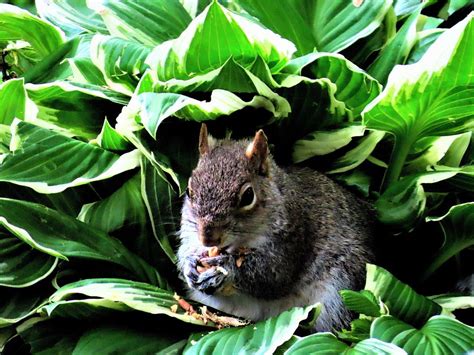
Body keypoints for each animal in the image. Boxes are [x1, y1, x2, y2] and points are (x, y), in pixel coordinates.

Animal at [176, 124, 376, 332]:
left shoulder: (295, 237)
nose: (208, 238)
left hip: (339, 292)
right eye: (189, 191)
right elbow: (184, 252)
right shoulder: (190, 234)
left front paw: (226, 268)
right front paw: (189, 264)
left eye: (248, 196)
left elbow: (273, 276)